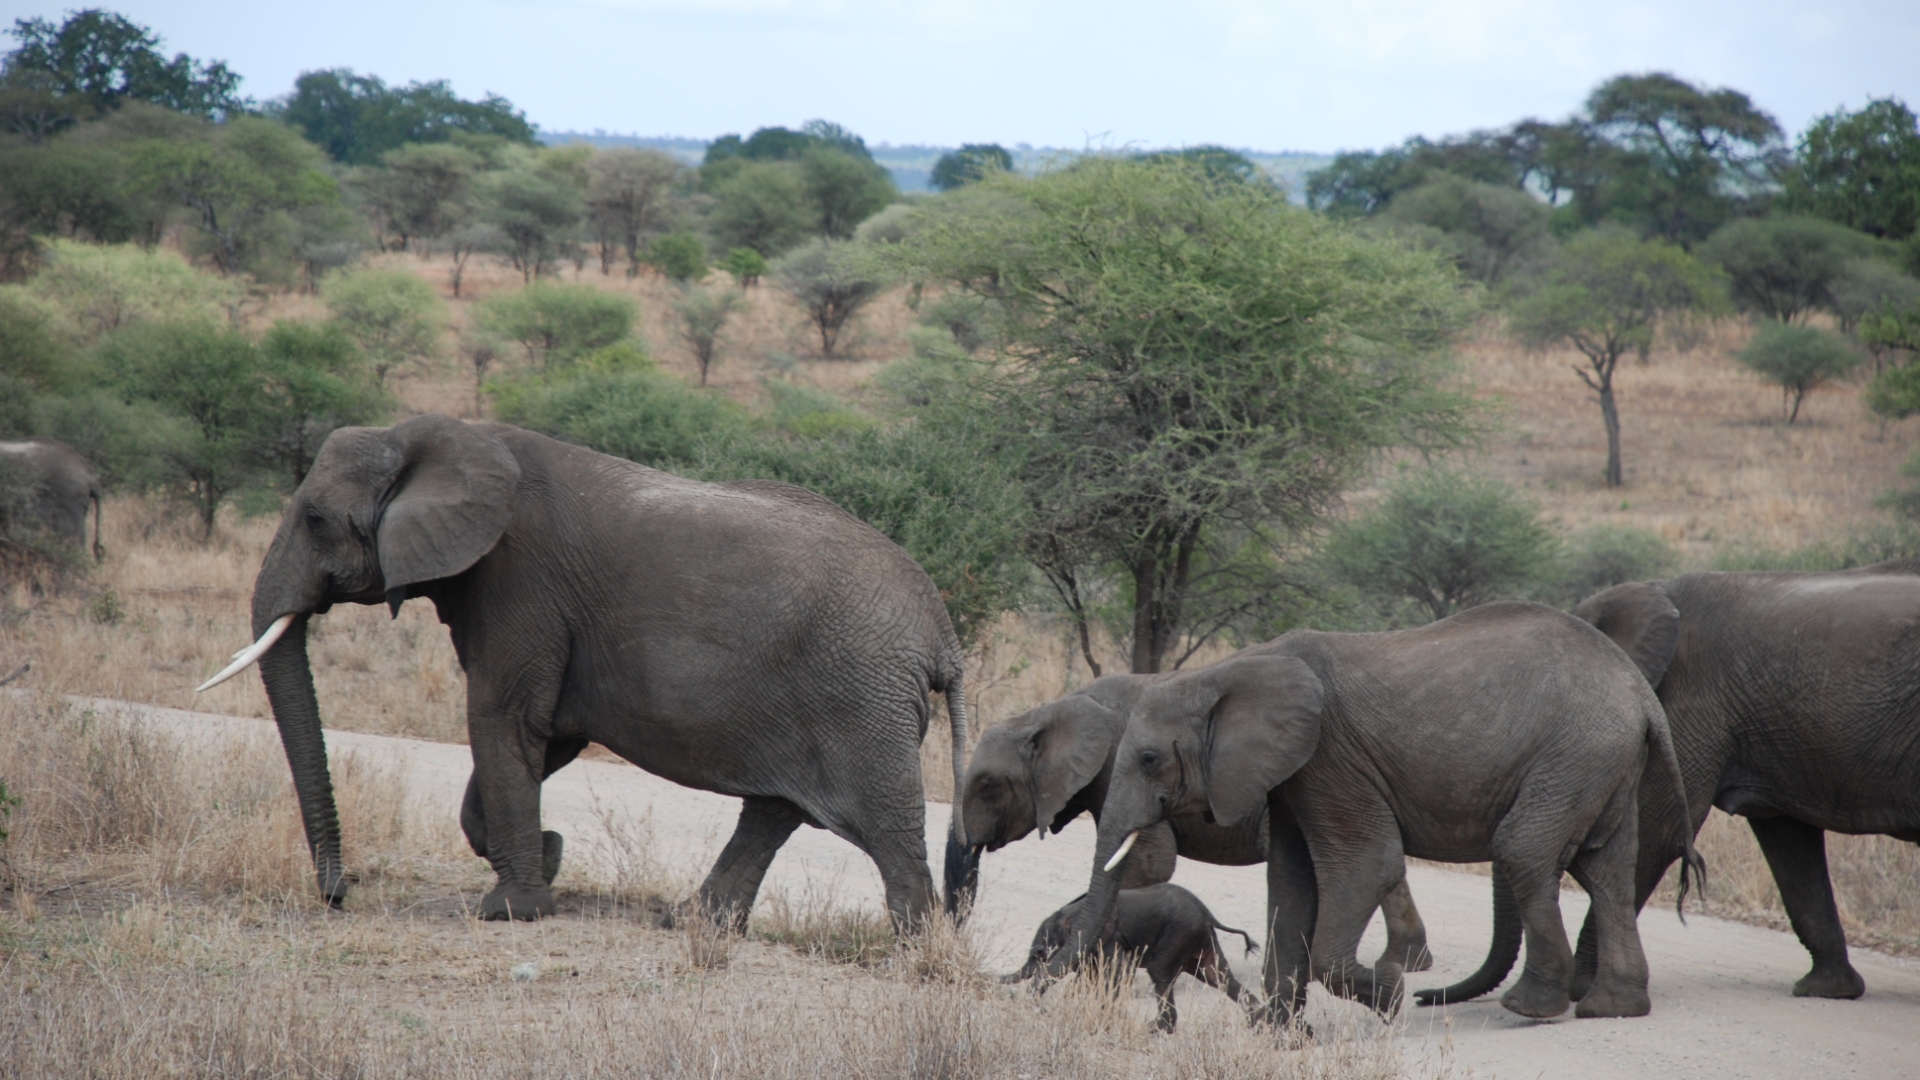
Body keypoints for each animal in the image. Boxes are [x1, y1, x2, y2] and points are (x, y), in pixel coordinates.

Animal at [196, 414, 972, 927]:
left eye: (315, 519)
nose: (338, 894)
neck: (437, 434)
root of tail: (942, 633)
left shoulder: (519, 582)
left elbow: (505, 720)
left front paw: (512, 909)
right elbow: (546, 736)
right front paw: (548, 857)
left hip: (860, 697)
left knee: (884, 823)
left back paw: (915, 949)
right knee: (772, 811)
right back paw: (689, 925)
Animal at [1008, 882, 1257, 1032]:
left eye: (1040, 953)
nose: (1042, 1010)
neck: (1071, 913)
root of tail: (1208, 914)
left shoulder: (1109, 940)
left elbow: (1118, 970)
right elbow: (1087, 975)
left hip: (1178, 934)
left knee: (1160, 972)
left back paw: (1153, 1029)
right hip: (1200, 938)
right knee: (1217, 975)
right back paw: (1256, 1022)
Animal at [1063, 602, 1702, 1024]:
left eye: (1149, 760)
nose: (1420, 996)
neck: (1230, 669)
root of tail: (1639, 692)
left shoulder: (1329, 758)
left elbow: (1364, 866)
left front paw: (1390, 996)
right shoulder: (1292, 774)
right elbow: (1291, 880)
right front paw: (1280, 1030)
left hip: (1576, 754)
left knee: (1524, 850)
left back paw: (1531, 1008)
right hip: (1602, 761)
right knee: (1607, 869)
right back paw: (1613, 1008)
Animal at [1424, 561, 1920, 1006]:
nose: (1424, 996)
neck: (1655, 591)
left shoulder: (1693, 697)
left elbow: (1654, 833)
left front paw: (1583, 990)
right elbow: (1790, 847)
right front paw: (1827, 990)